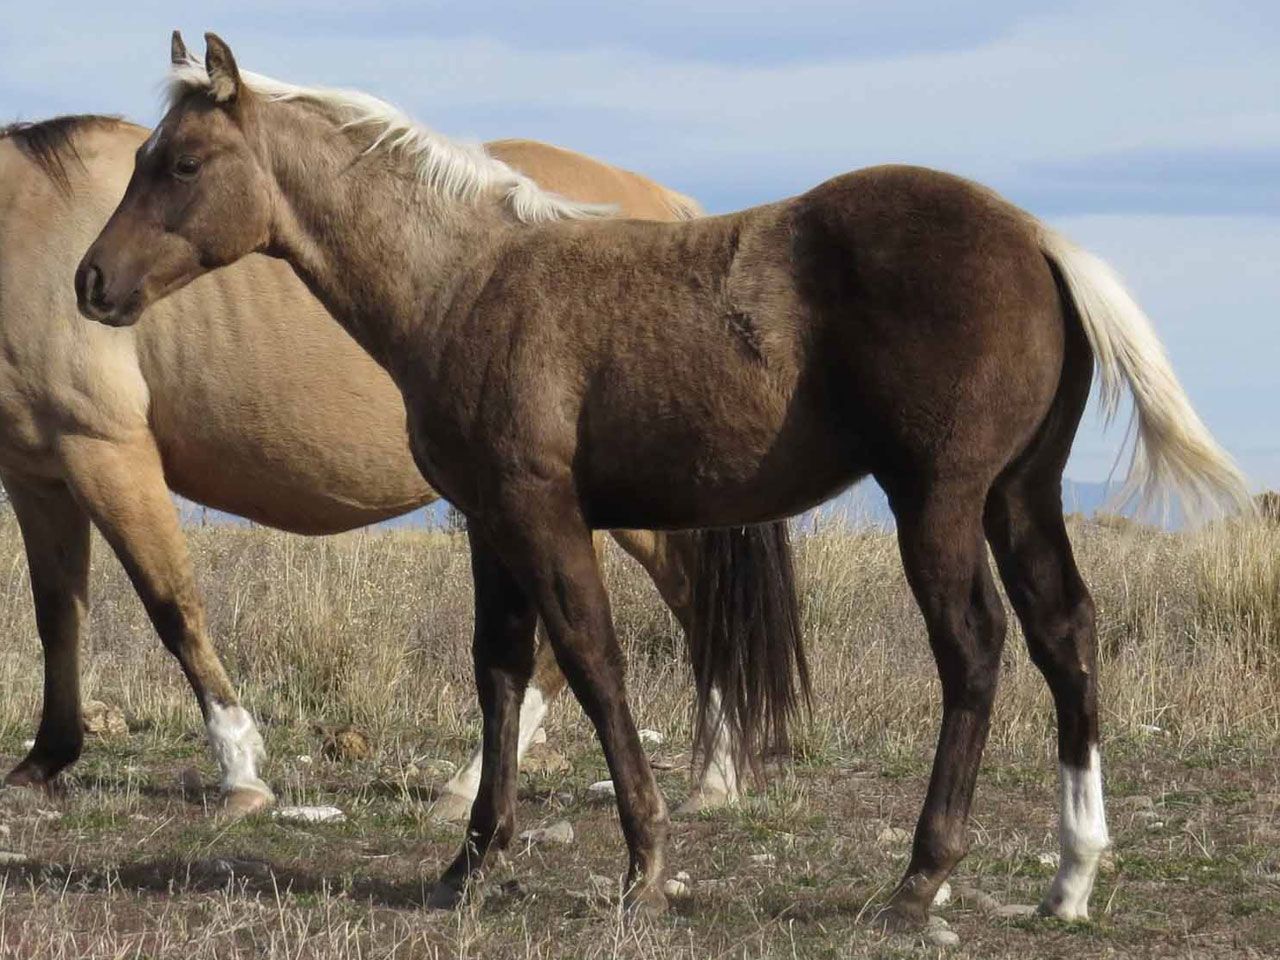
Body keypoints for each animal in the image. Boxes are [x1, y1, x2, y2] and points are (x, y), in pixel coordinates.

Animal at [0, 92, 804, 818]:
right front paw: (45, 759)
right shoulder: (39, 478)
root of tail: (669, 208)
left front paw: (240, 770)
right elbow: (57, 614)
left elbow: (173, 608)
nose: (93, 283)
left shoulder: (107, 453)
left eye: (184, 167)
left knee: (678, 603)